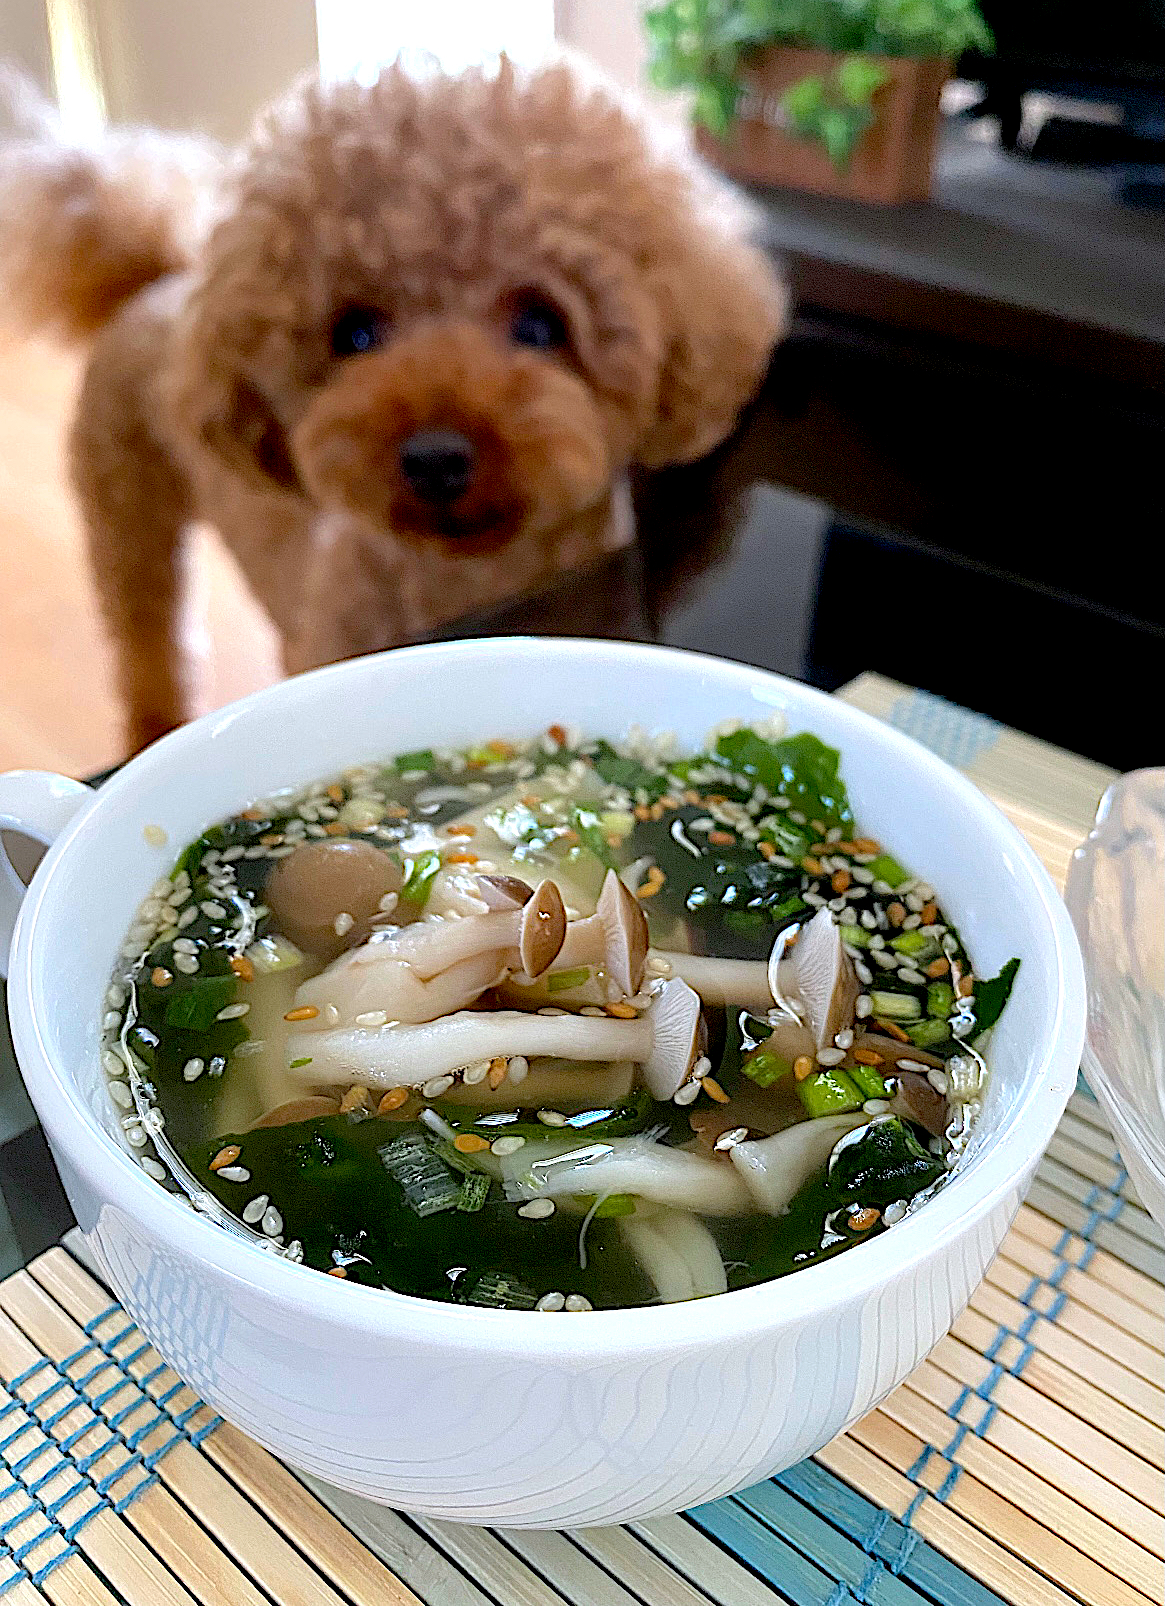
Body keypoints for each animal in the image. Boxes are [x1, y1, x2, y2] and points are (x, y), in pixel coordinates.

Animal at [0, 56, 787, 745]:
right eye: (354, 333)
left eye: (540, 323)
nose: (435, 458)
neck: (467, 584)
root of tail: (158, 281)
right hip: (125, 512)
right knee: (144, 634)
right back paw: (152, 723)